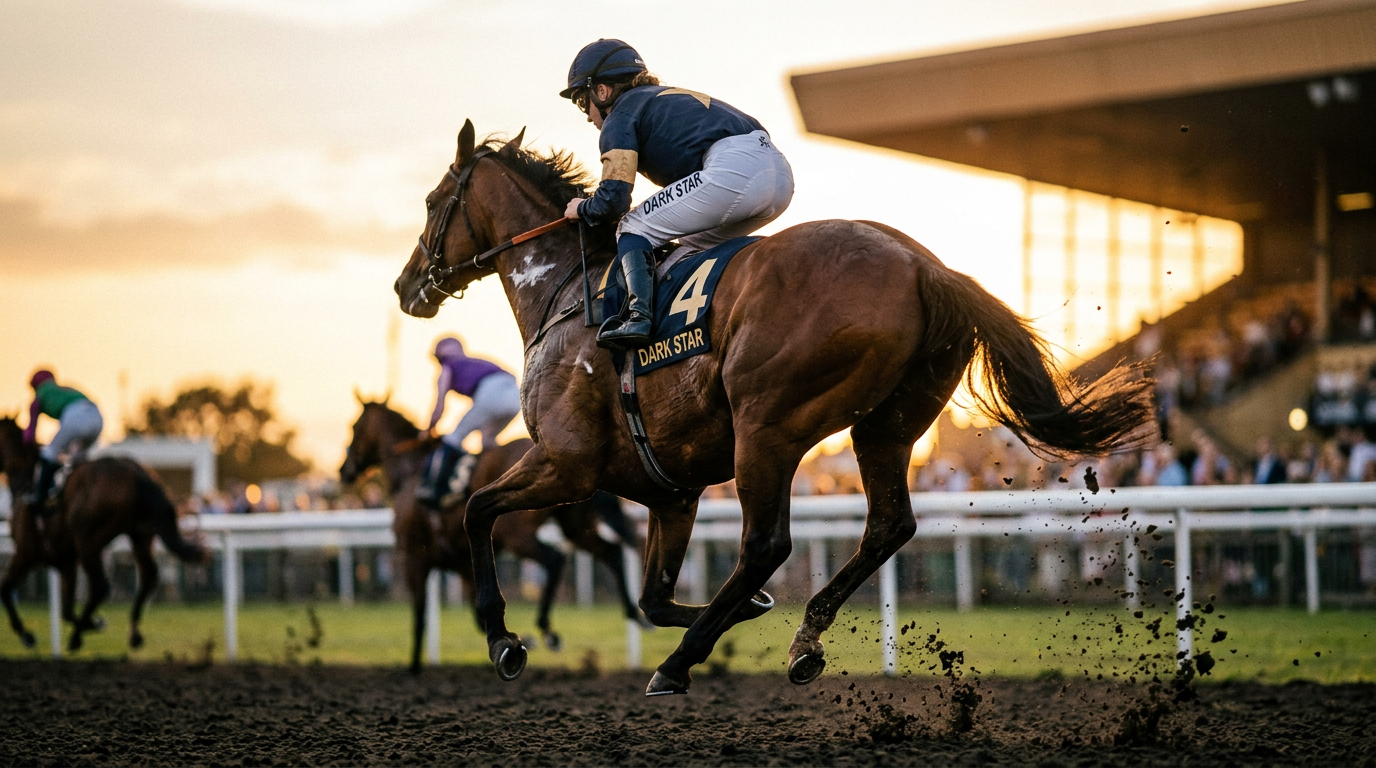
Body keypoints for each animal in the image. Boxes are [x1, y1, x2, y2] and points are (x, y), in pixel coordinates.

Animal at [0, 417, 208, 652]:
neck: (26, 482)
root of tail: (137, 473)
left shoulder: (26, 553)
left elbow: (5, 590)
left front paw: (27, 635)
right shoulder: (65, 561)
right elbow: (66, 609)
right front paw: (93, 622)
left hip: (88, 540)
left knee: (101, 585)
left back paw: (76, 637)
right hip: (140, 535)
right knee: (148, 576)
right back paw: (133, 633)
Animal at [339, 399, 648, 674]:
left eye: (355, 427)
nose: (344, 470)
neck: (411, 473)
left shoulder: (413, 556)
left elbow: (419, 614)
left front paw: (414, 667)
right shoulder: (463, 564)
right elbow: (477, 615)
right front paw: (511, 642)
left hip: (518, 534)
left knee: (554, 558)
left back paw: (548, 630)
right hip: (575, 524)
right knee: (611, 552)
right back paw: (634, 613)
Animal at [392, 121, 1155, 695]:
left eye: (432, 202)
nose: (406, 286)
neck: (566, 294)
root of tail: (924, 267)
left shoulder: (567, 463)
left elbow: (476, 509)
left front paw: (503, 639)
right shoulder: (672, 493)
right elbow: (652, 596)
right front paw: (743, 612)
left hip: (766, 425)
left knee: (768, 543)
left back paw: (678, 665)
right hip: (884, 426)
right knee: (888, 525)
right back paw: (801, 639)